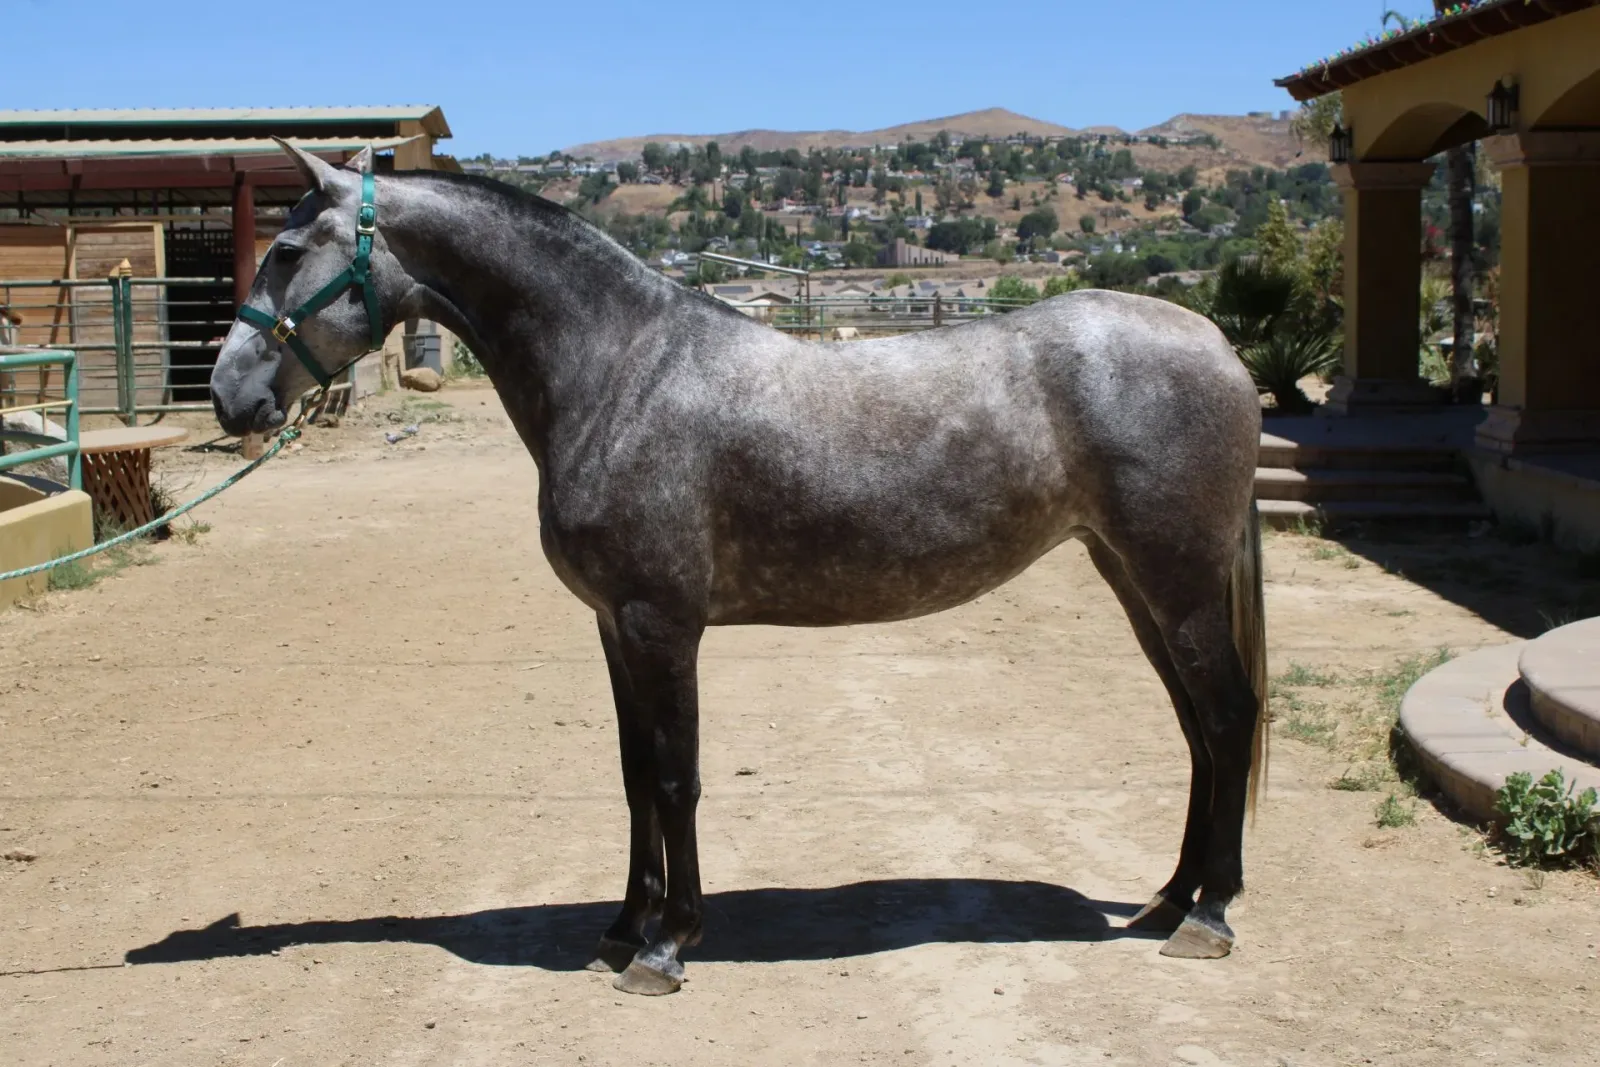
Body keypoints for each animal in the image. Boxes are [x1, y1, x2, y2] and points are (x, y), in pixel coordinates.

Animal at [210, 141, 1268, 996]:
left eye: (289, 251)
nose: (229, 394)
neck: (623, 369)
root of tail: (1218, 344)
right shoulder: (613, 624)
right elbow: (636, 773)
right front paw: (622, 925)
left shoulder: (660, 621)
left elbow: (678, 775)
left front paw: (667, 945)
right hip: (1134, 580)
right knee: (1197, 730)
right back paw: (1169, 899)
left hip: (1173, 583)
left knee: (1226, 718)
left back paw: (1210, 916)